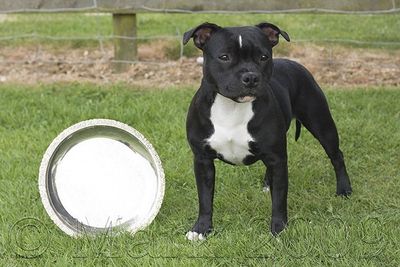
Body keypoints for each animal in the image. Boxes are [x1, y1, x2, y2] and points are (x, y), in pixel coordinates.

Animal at [183, 22, 352, 241]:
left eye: (263, 57)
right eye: (224, 57)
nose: (251, 77)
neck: (232, 107)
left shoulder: (277, 158)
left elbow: (279, 200)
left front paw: (278, 229)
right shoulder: (202, 160)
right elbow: (204, 199)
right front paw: (201, 229)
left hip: (321, 123)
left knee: (336, 156)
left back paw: (344, 189)